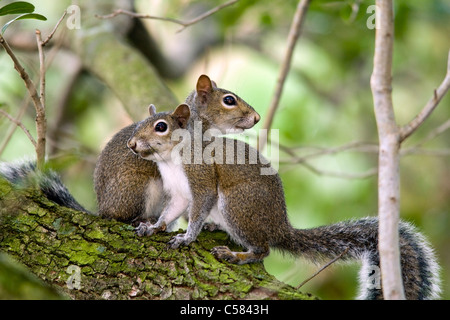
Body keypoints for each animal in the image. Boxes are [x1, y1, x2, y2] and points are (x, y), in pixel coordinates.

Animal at [125, 103, 440, 300]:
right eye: (139, 124)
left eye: (161, 127)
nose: (132, 144)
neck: (171, 159)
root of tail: (280, 227)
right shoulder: (178, 192)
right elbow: (171, 211)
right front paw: (153, 227)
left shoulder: (201, 178)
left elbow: (200, 206)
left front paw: (187, 236)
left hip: (238, 206)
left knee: (263, 249)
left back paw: (238, 255)